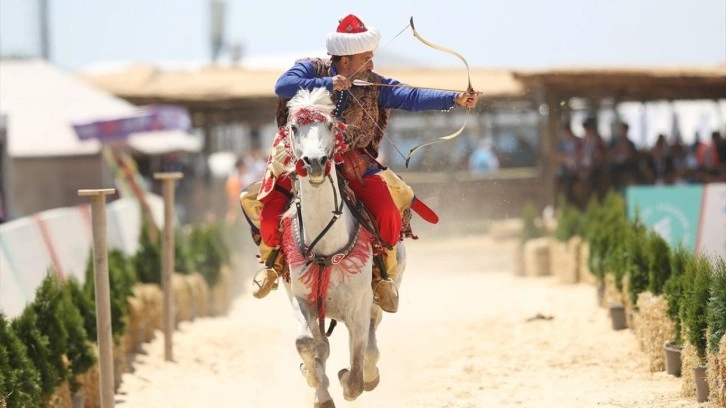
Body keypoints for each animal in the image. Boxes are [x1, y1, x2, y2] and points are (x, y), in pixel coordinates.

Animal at [280, 87, 406, 406]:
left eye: (329, 125)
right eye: (294, 127)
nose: (314, 162)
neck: (326, 246)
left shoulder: (359, 308)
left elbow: (356, 377)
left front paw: (346, 377)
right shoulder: (303, 299)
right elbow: (305, 342)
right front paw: (315, 381)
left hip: (380, 295)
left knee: (372, 341)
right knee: (322, 345)